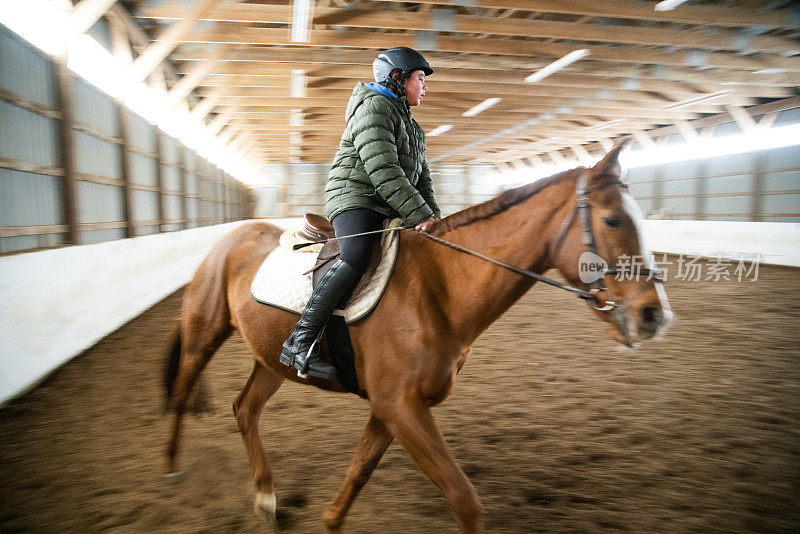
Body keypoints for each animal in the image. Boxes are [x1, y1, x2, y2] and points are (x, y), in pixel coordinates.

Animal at [166, 144, 672, 532]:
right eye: (612, 221)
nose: (654, 315)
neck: (440, 287)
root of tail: (231, 239)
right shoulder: (400, 407)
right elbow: (464, 499)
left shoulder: (393, 408)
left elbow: (358, 473)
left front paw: (330, 520)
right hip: (204, 334)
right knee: (183, 390)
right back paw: (171, 467)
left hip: (272, 359)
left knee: (244, 409)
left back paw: (267, 499)